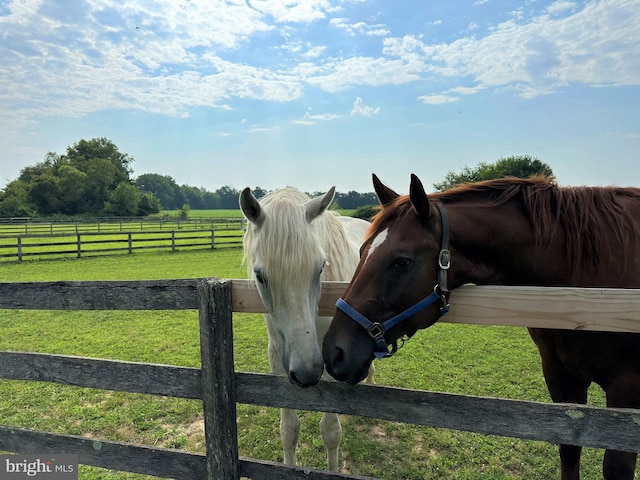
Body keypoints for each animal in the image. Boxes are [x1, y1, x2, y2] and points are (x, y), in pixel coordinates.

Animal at [238, 186, 372, 470]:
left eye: (320, 267)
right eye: (260, 275)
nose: (308, 372)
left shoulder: (333, 360)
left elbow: (330, 433)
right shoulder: (279, 361)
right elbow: (289, 430)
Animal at [322, 173, 640, 480]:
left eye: (402, 261)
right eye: (362, 251)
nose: (333, 352)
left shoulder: (626, 389)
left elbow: (616, 466)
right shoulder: (561, 376)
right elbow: (569, 450)